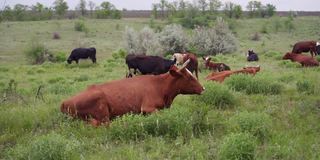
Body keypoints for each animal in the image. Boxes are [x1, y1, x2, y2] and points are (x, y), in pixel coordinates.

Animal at [60, 59, 205, 126]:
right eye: (189, 77)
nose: (203, 88)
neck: (160, 86)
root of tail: (64, 102)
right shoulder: (147, 108)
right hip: (103, 113)